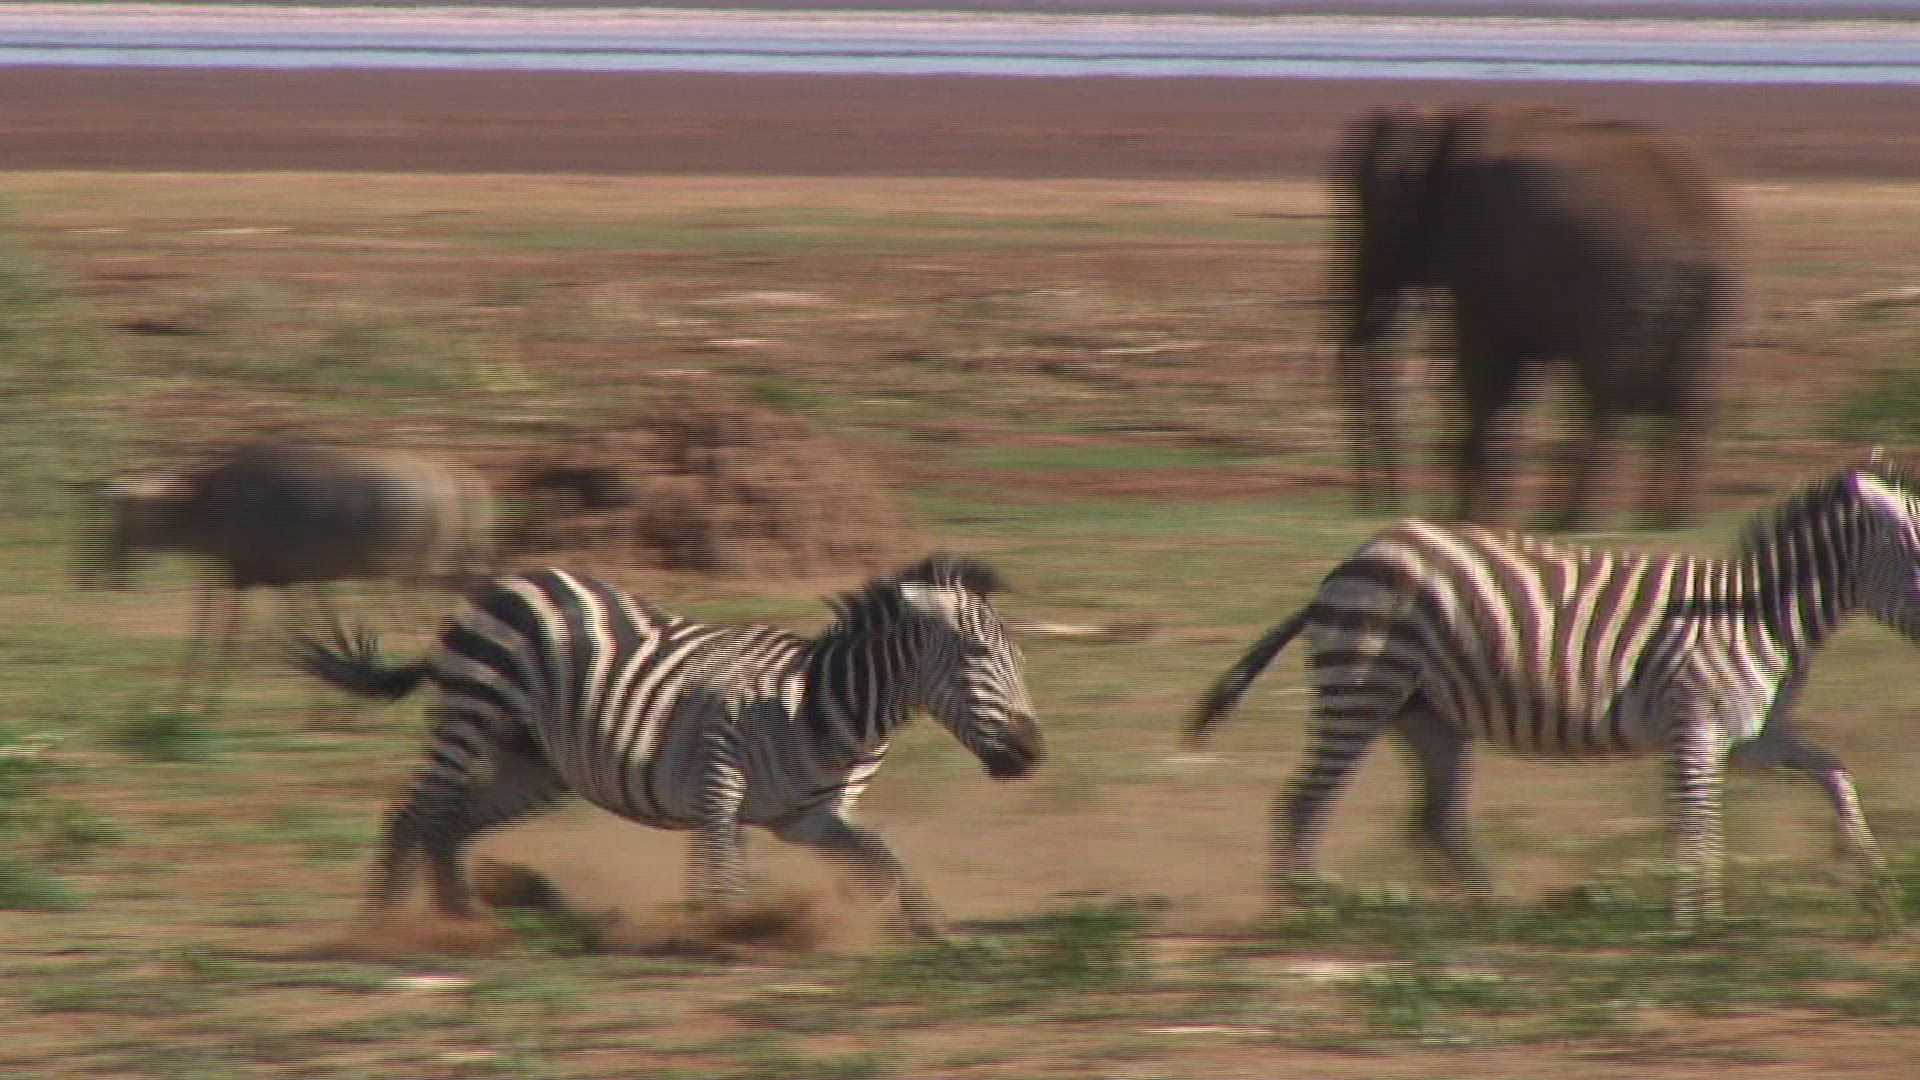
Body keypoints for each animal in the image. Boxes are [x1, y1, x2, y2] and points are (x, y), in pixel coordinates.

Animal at [288, 555, 1043, 939]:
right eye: (977, 653)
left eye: (1017, 656)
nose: (1031, 753)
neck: (825, 709)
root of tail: (507, 580)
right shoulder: (716, 787)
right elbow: (722, 881)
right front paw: (730, 937)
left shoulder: (810, 817)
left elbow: (888, 859)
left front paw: (932, 931)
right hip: (469, 714)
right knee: (415, 810)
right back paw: (384, 924)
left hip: (537, 762)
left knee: (452, 820)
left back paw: (463, 918)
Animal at [1185, 461, 1920, 927]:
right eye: (1919, 555)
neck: (1759, 615)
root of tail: (1349, 563)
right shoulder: (1695, 728)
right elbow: (1699, 829)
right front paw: (1698, 925)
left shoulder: (1748, 739)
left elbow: (1834, 773)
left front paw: (1874, 886)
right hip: (1363, 689)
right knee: (1305, 802)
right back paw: (1305, 915)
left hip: (1427, 715)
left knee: (1434, 818)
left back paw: (1488, 919)